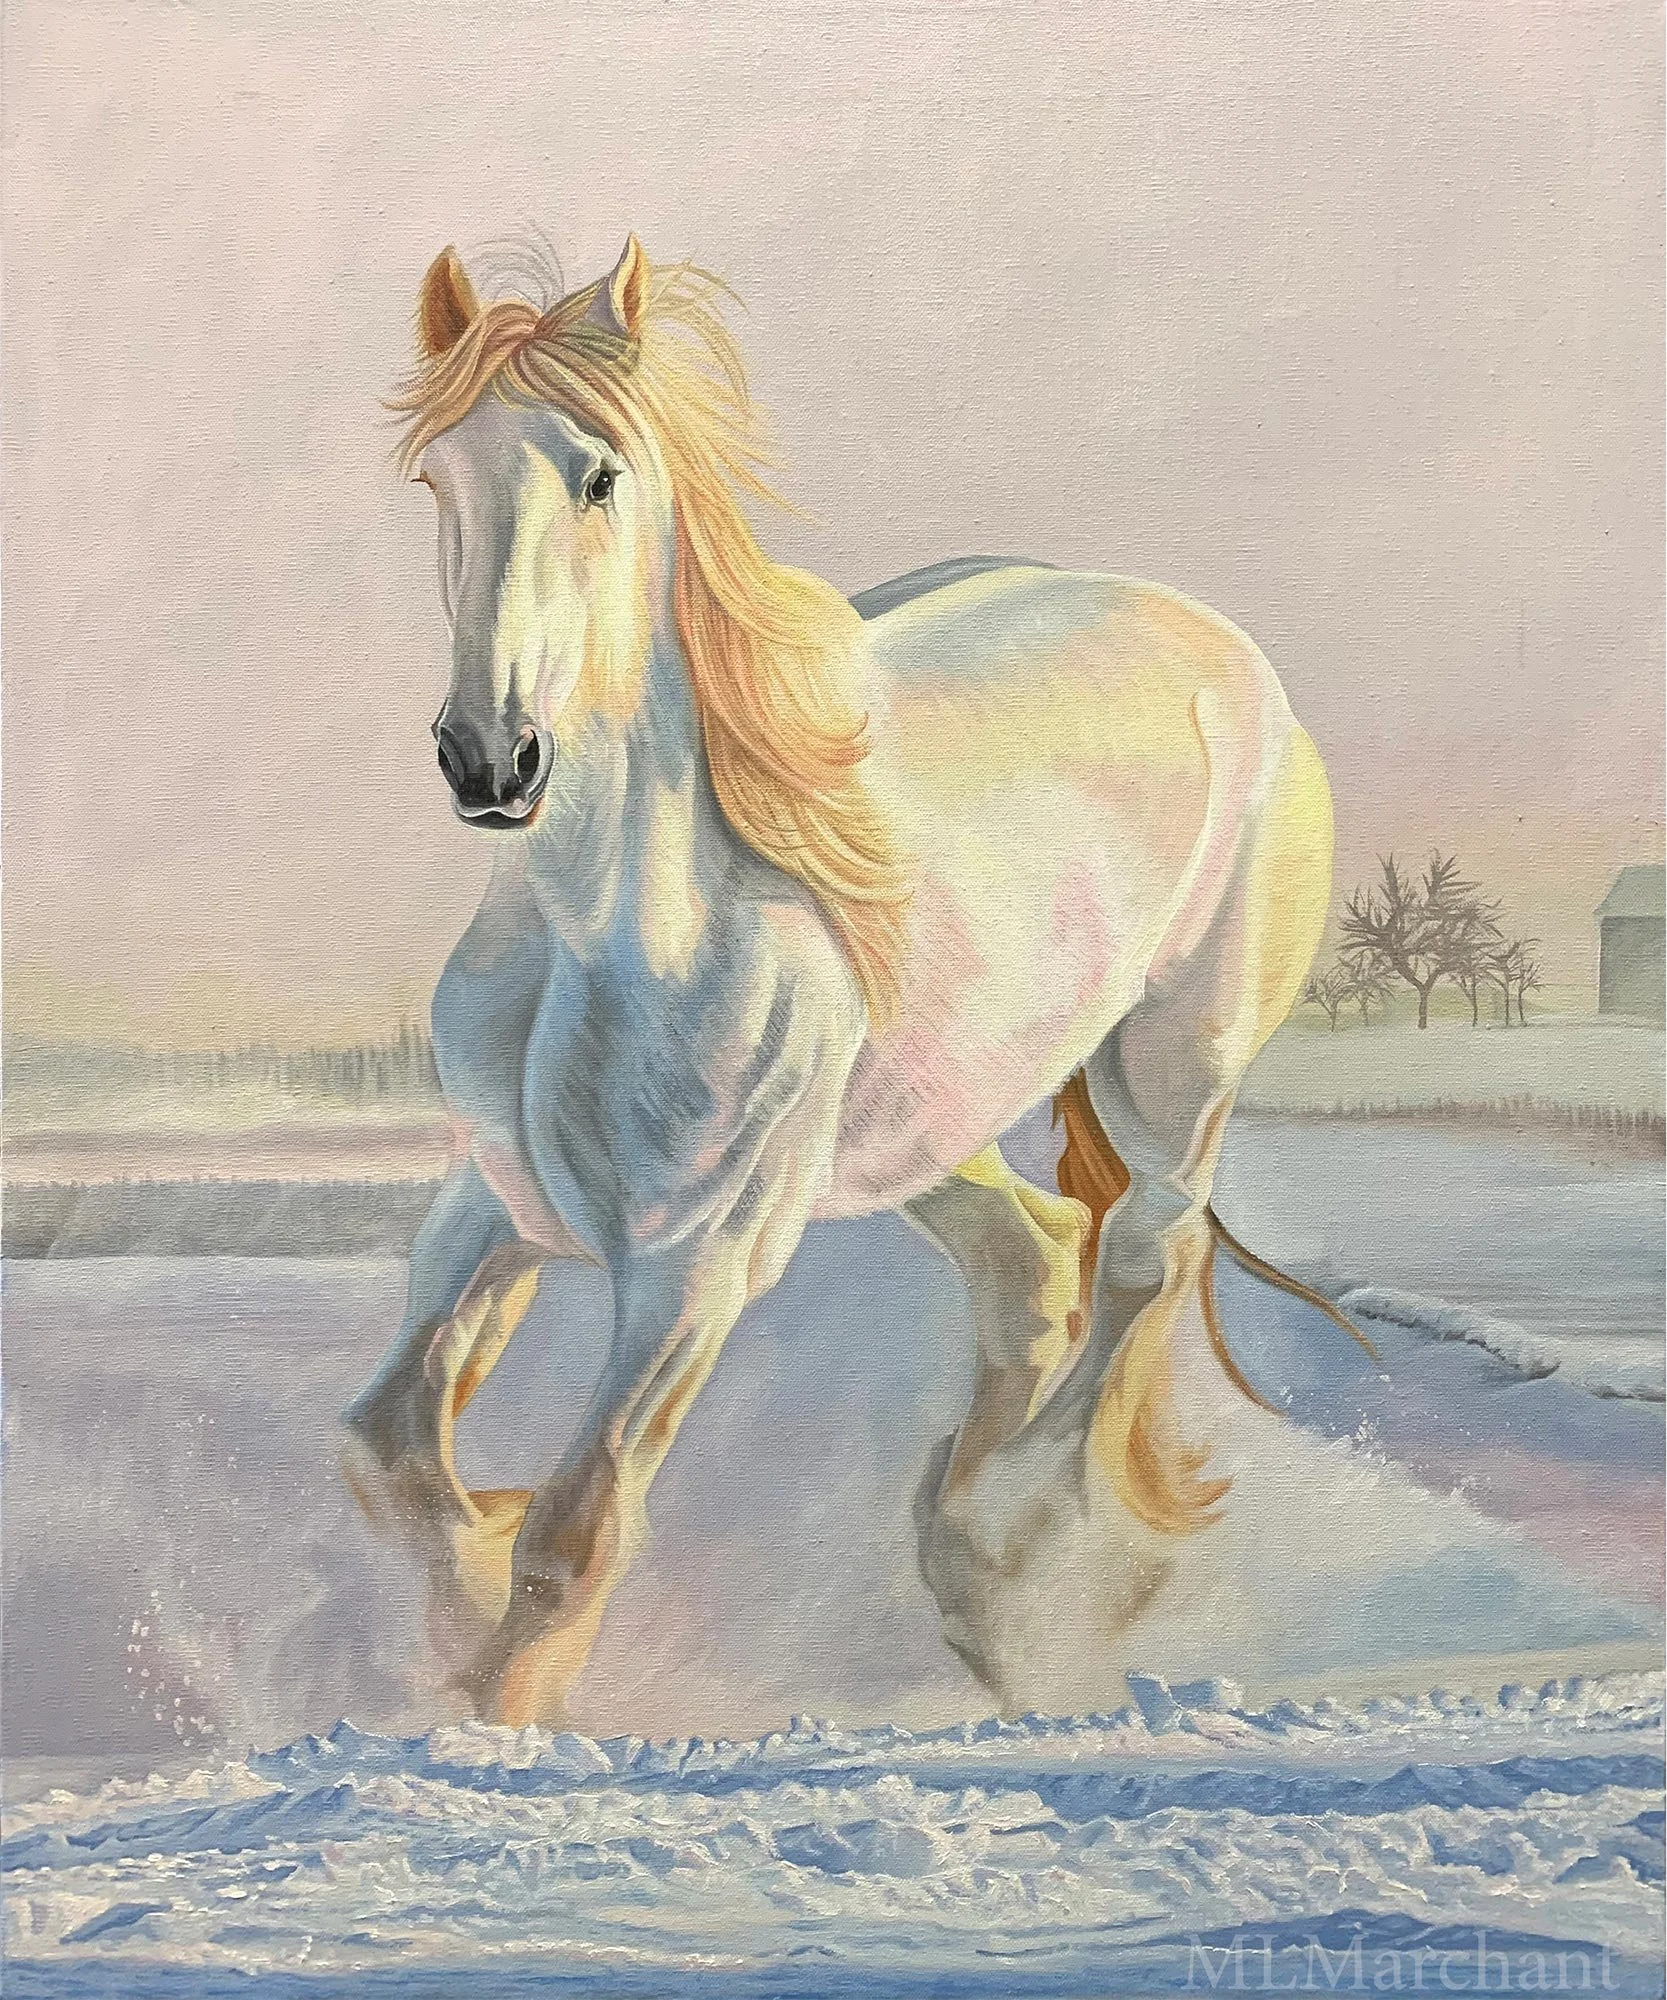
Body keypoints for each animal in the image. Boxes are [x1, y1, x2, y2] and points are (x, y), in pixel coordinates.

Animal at [342, 235, 1356, 1726]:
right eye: (437, 478)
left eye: (598, 475)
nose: (491, 757)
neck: (614, 931)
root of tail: (1218, 645)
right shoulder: (497, 1204)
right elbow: (389, 1450)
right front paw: (453, 1618)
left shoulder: (693, 1266)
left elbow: (574, 1535)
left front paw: (486, 1711)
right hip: (918, 1130)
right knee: (1032, 1263)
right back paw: (968, 1570)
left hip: (1172, 1070)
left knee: (1141, 1254)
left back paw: (1011, 1552)